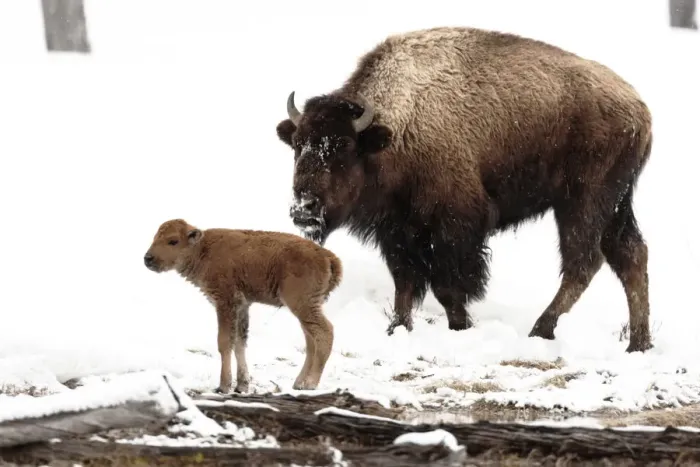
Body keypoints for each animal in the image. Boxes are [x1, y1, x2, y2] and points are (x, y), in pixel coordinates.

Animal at [275, 26, 653, 353]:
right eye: (298, 145)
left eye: (342, 147)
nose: (303, 209)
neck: (395, 131)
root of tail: (639, 109)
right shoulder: (398, 232)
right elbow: (404, 283)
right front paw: (397, 329)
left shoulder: (454, 228)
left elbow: (448, 287)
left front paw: (460, 327)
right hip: (616, 205)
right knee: (630, 256)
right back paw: (638, 344)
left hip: (582, 202)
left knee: (583, 262)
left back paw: (540, 329)